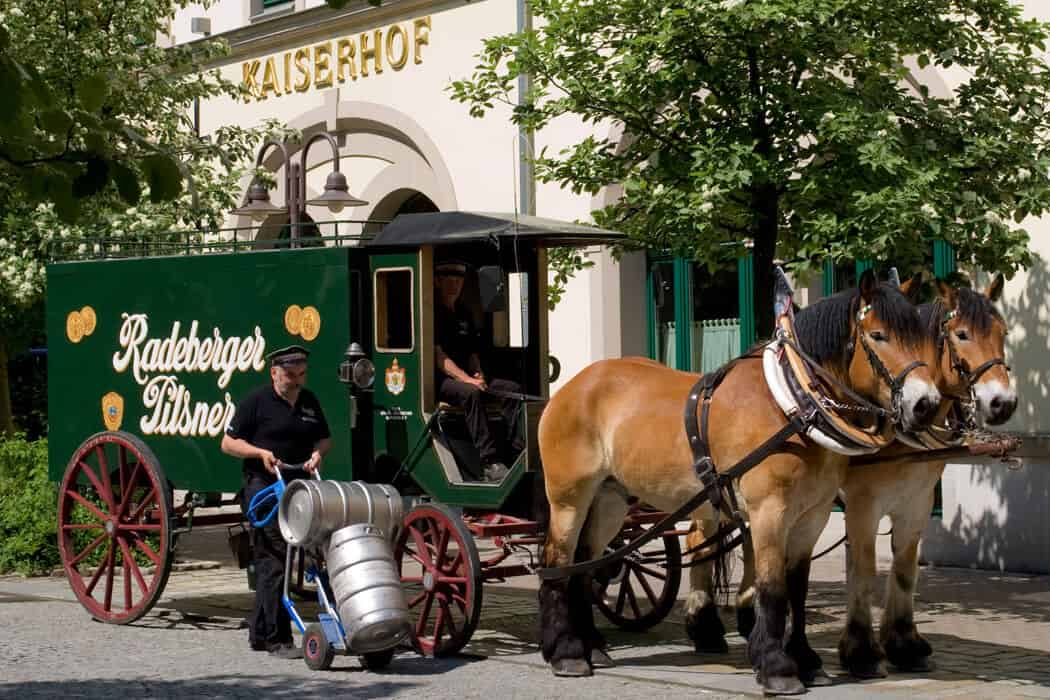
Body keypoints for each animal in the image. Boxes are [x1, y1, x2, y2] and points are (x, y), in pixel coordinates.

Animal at [537, 270, 940, 692]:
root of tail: (574, 385)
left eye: (924, 338)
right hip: (569, 497)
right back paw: (566, 652)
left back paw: (593, 647)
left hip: (610, 499)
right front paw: (778, 667)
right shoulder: (769, 512)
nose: (926, 405)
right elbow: (772, 588)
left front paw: (806, 660)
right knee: (557, 563)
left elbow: (797, 588)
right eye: (878, 335)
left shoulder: (812, 516)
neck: (792, 406)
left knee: (584, 565)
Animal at [684, 277, 1012, 680]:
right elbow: (864, 567)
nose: (1003, 403)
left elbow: (904, 569)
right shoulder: (862, 504)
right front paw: (861, 651)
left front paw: (904, 644)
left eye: (1002, 332)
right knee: (699, 540)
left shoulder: (915, 502)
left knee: (744, 544)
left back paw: (745, 618)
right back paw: (705, 625)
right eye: (962, 334)